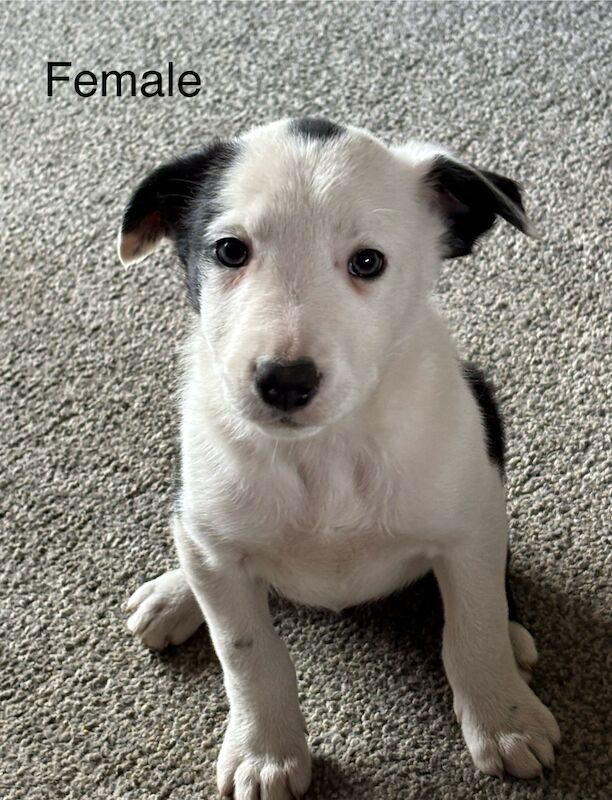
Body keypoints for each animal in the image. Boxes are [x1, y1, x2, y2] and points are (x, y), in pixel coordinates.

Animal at [118, 115, 560, 796]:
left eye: (368, 262)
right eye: (229, 251)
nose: (285, 382)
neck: (323, 452)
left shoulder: (472, 525)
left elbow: (474, 624)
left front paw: (505, 718)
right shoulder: (218, 543)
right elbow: (247, 651)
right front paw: (266, 752)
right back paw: (174, 594)